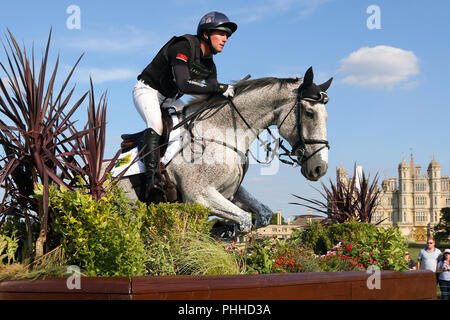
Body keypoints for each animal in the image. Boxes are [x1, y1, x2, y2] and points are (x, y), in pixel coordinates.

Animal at [113, 67, 330, 232]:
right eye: (309, 113)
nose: (320, 168)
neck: (219, 133)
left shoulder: (231, 192)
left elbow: (263, 214)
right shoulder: (199, 196)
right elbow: (243, 220)